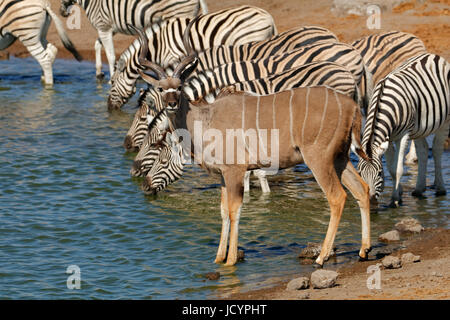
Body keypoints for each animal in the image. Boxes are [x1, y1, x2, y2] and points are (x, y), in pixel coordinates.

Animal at [59, 0, 207, 79]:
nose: (62, 12)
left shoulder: (104, 27)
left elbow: (111, 56)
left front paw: (111, 78)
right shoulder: (110, 29)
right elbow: (97, 44)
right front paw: (99, 72)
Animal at [134, 18, 372, 266]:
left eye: (179, 87)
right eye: (161, 88)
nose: (171, 103)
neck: (205, 118)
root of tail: (352, 107)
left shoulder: (235, 171)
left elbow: (234, 210)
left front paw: (230, 261)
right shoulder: (223, 175)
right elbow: (223, 211)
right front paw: (218, 258)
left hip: (318, 158)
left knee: (337, 197)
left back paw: (322, 257)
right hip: (339, 157)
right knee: (361, 189)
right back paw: (364, 250)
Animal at [356, 52, 448, 208]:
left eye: (379, 173)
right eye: (360, 173)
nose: (371, 203)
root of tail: (432, 55)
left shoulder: (403, 135)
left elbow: (397, 169)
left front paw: (395, 199)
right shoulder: (388, 139)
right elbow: (391, 168)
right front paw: (398, 193)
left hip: (445, 121)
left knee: (436, 150)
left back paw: (440, 189)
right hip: (420, 127)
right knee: (423, 150)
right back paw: (419, 189)